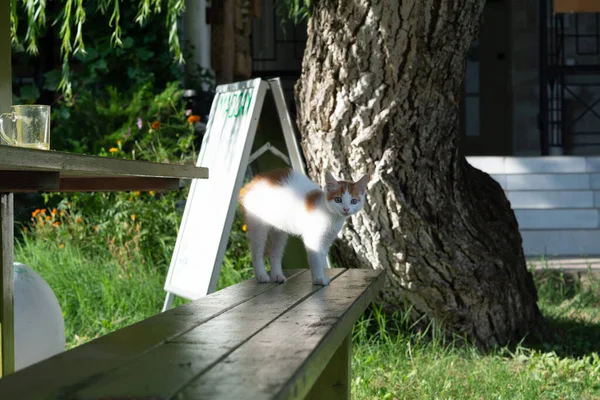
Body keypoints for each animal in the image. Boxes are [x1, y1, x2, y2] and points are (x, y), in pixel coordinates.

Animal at [237, 168, 368, 284]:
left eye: (353, 201)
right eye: (338, 199)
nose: (346, 209)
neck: (331, 216)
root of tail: (251, 183)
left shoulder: (327, 239)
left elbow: (321, 258)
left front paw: (321, 275)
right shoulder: (312, 239)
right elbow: (316, 259)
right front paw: (318, 279)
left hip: (279, 231)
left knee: (275, 253)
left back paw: (277, 275)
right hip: (258, 227)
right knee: (256, 252)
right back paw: (261, 275)